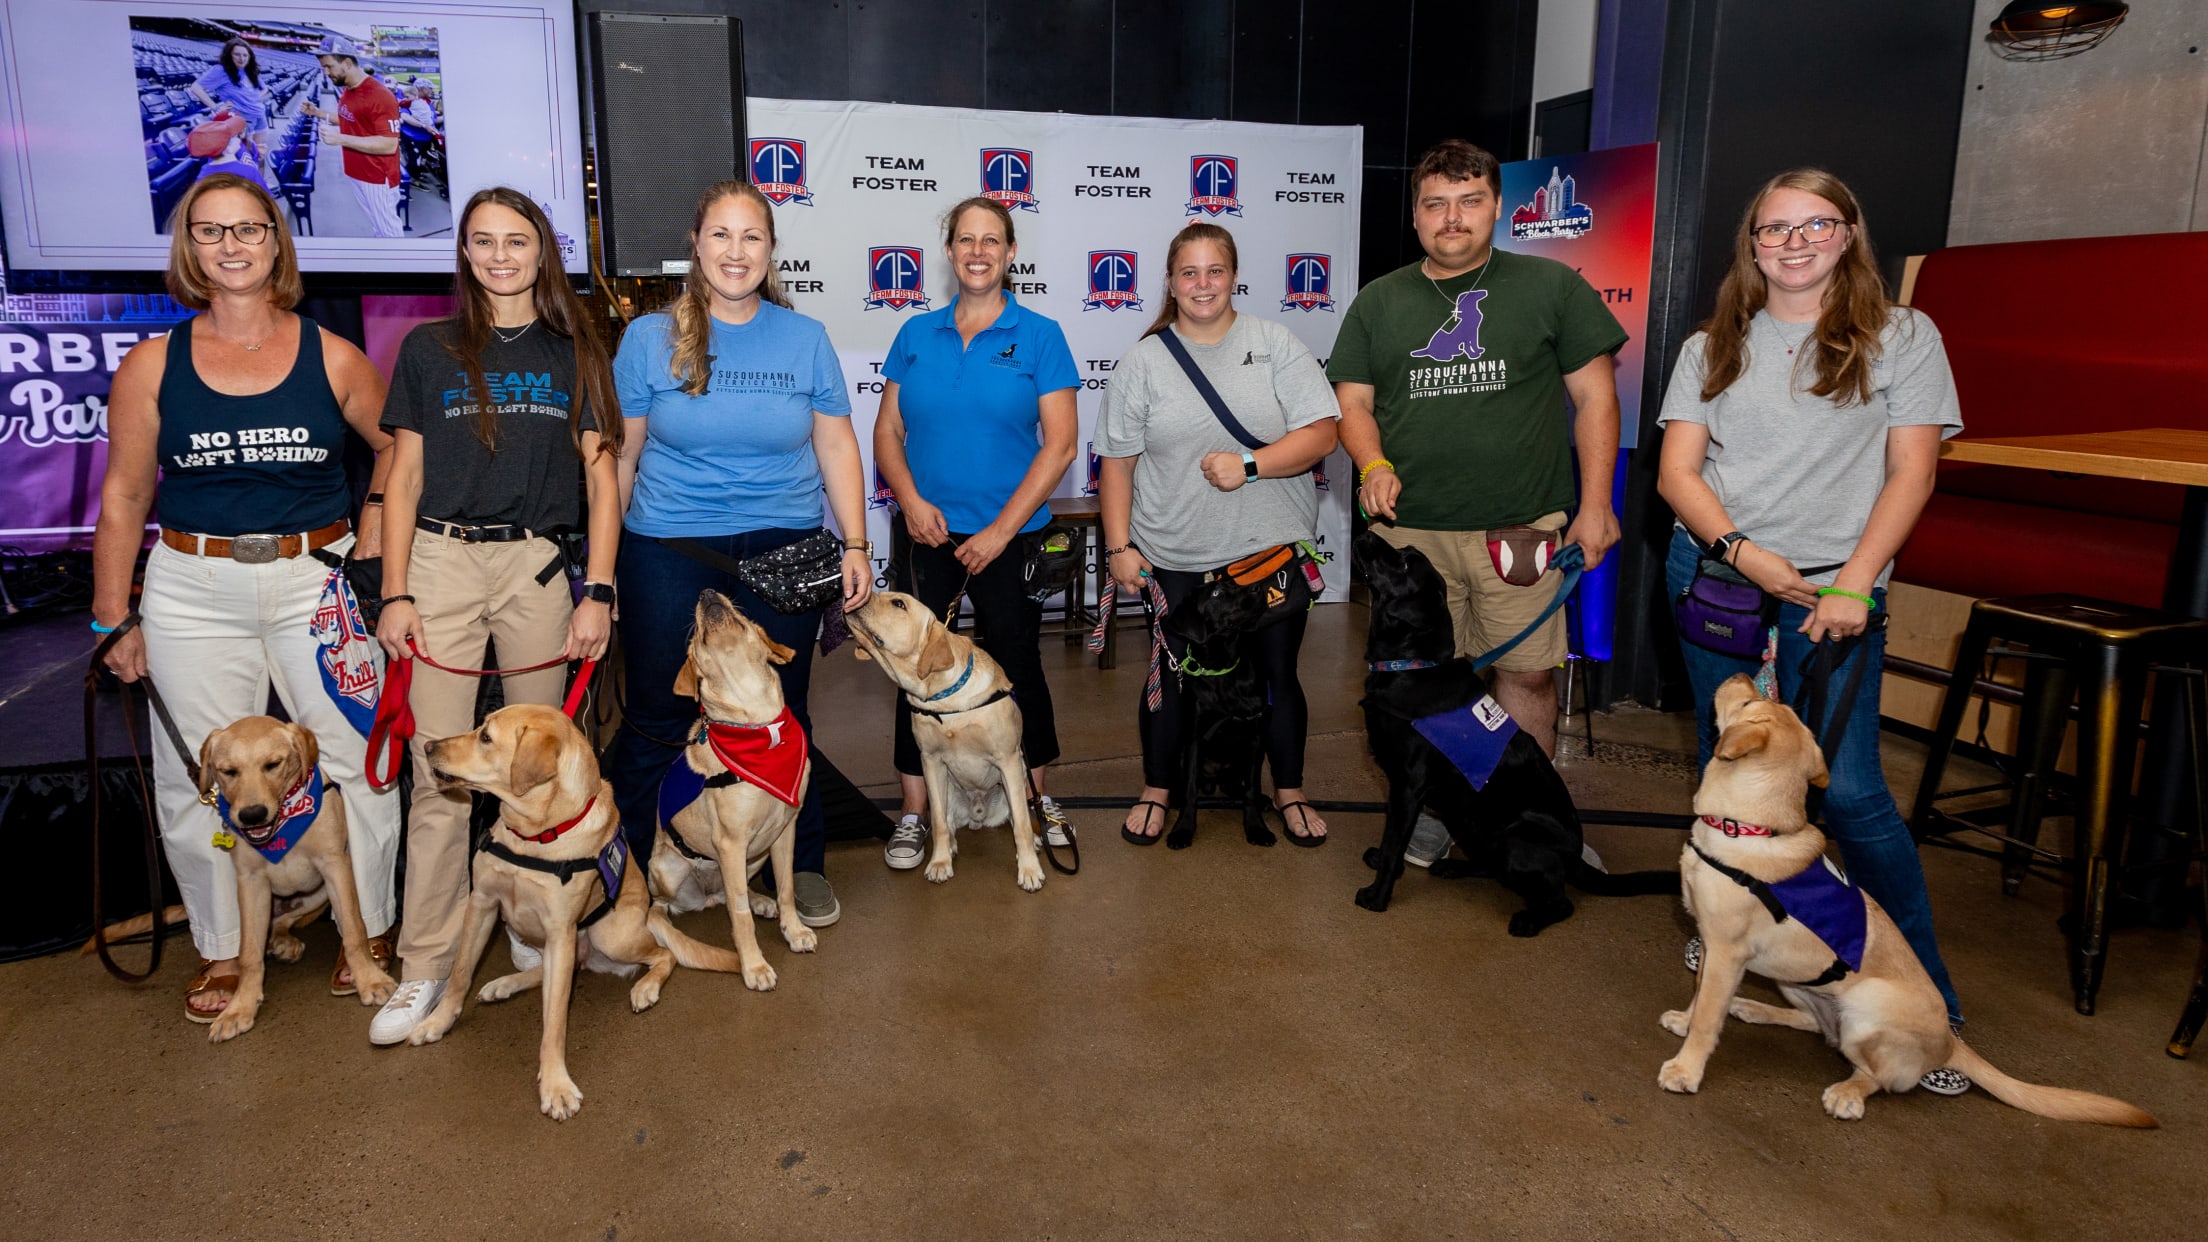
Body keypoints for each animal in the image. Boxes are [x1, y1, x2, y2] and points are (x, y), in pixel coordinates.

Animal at [196, 711, 395, 1038]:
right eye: (228, 771)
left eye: (272, 764)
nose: (252, 815)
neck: (284, 821)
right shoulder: (250, 883)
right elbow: (249, 952)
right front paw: (240, 1007)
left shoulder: (335, 866)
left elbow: (354, 929)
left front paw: (369, 978)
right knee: (271, 927)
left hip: (319, 894)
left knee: (285, 921)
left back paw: (283, 942)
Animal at [1342, 525, 1669, 932]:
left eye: (1402, 563)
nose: (1367, 532)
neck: (1412, 667)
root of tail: (1574, 858)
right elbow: (1393, 838)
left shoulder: (1408, 785)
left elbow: (1392, 843)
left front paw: (1377, 896)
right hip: (1468, 819)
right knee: (1492, 866)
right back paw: (1454, 867)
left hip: (1514, 839)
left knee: (1560, 901)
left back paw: (1529, 921)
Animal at [1660, 671, 2146, 1127]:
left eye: (1747, 704)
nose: (1741, 675)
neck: (1748, 828)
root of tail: (1949, 1043)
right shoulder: (1713, 948)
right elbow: (1701, 994)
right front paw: (1685, 1021)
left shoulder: (1728, 953)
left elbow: (1708, 1016)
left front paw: (1686, 1069)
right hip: (1797, 982)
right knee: (1818, 1026)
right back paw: (1754, 1008)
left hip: (1866, 1008)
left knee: (1878, 1076)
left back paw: (1847, 1094)